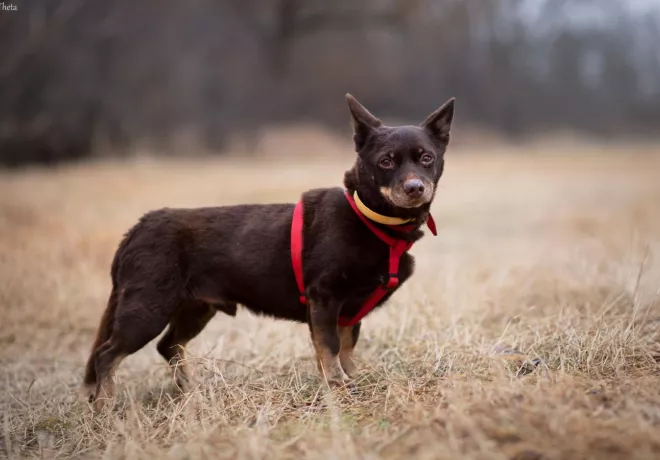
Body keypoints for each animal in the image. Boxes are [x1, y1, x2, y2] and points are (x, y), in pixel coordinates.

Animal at [81, 92, 454, 410]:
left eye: (427, 158)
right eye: (387, 161)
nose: (415, 188)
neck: (368, 218)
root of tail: (138, 227)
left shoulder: (349, 311)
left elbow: (346, 349)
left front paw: (354, 380)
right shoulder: (325, 299)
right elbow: (330, 349)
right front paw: (339, 388)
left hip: (196, 309)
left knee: (168, 345)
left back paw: (190, 392)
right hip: (147, 309)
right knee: (106, 355)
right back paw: (105, 407)